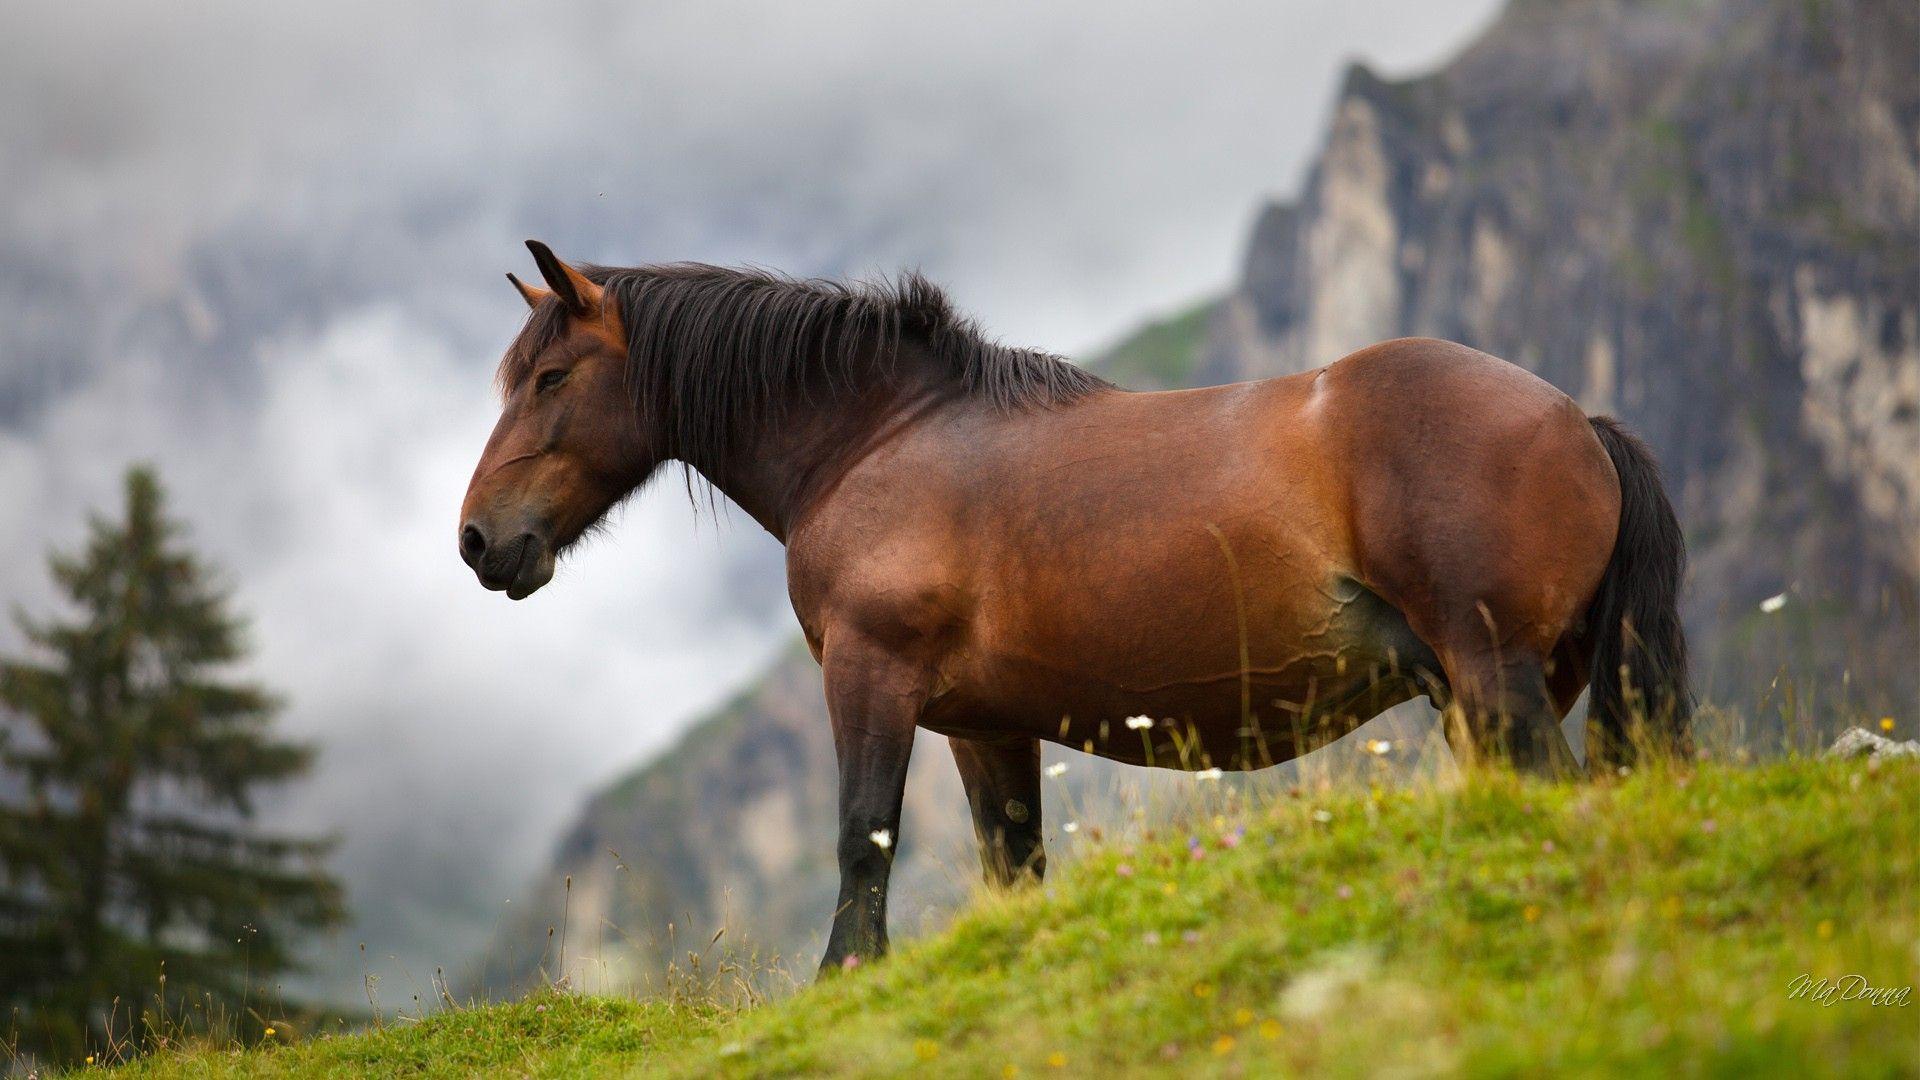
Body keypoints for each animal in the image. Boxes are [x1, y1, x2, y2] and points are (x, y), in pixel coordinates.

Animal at [459, 241, 1691, 972]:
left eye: (552, 378)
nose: (480, 541)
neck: (878, 441)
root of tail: (1577, 420)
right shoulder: (984, 727)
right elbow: (1013, 870)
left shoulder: (871, 679)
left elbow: (864, 838)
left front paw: (847, 979)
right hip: (1477, 695)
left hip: (1495, 680)